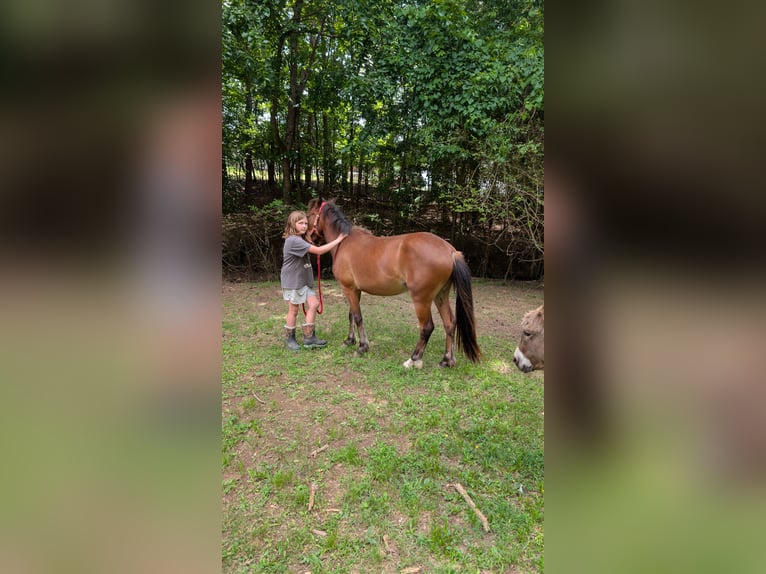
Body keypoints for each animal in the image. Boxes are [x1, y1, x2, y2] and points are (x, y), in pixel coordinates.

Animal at [306, 198, 481, 368]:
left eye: (309, 215)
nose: (309, 238)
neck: (344, 242)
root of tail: (450, 251)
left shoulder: (348, 288)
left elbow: (357, 317)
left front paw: (362, 347)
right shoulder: (355, 290)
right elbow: (351, 315)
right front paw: (349, 340)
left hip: (421, 299)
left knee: (427, 327)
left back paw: (413, 360)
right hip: (440, 295)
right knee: (449, 323)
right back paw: (447, 360)